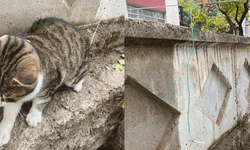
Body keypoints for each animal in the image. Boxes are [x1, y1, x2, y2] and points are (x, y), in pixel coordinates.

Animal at [0, 17, 90, 146]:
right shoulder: (17, 96)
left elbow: (41, 100)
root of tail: (79, 34)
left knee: (85, 69)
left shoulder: (52, 81)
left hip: (73, 73)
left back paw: (78, 85)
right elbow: (10, 113)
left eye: (3, 97)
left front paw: (34, 116)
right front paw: (3, 132)